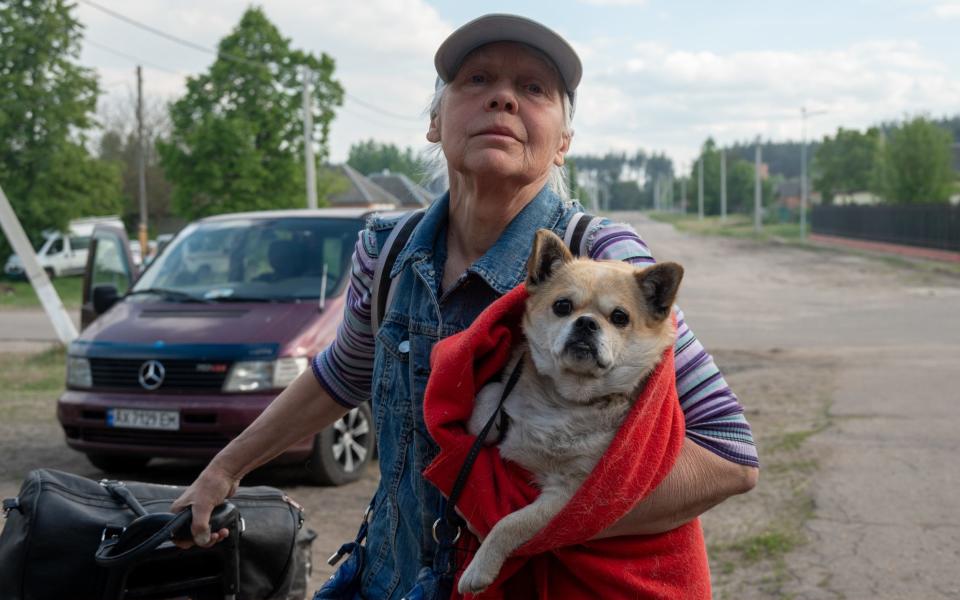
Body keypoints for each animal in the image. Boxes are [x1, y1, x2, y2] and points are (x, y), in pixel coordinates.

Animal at [458, 227, 684, 592]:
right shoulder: (505, 385)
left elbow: (511, 522)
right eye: (562, 306)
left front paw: (480, 567)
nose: (587, 323)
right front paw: (487, 425)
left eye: (620, 317)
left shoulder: (567, 499)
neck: (567, 401)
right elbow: (490, 395)